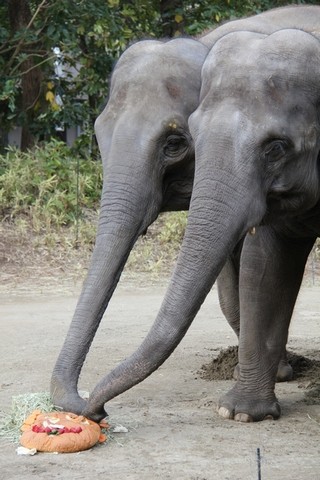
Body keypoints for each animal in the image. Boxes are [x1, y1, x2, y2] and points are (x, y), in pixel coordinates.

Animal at [70, 7, 320, 422]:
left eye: (174, 143)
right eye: (99, 138)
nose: (92, 408)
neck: (203, 41)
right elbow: (257, 267)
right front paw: (250, 402)